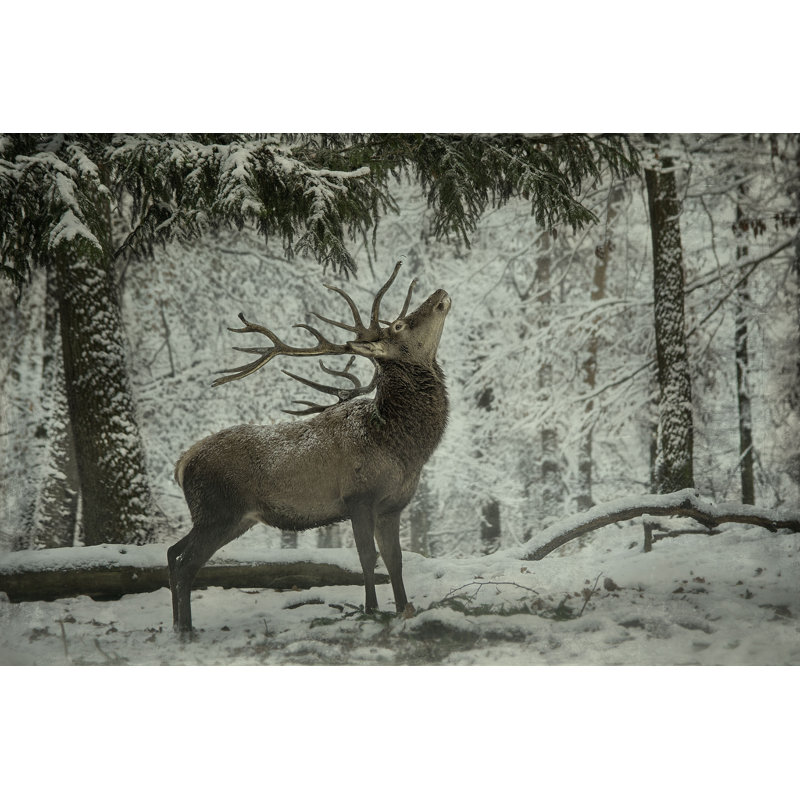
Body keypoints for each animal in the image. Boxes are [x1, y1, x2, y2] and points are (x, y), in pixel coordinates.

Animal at [168, 261, 450, 634]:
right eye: (399, 325)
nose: (439, 294)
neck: (402, 448)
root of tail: (182, 463)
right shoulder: (358, 497)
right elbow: (367, 557)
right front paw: (371, 610)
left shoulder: (393, 506)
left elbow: (395, 560)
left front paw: (404, 609)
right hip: (217, 511)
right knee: (186, 565)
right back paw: (186, 630)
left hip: (224, 517)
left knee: (172, 554)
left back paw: (176, 624)